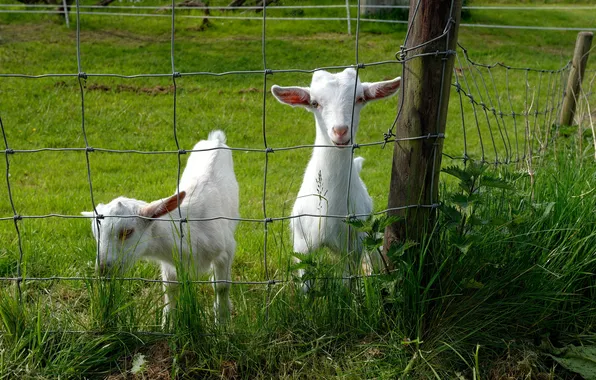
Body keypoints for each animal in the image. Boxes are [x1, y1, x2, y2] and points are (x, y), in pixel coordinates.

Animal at [82, 131, 240, 324]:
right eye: (95, 234)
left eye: (127, 232)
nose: (103, 269)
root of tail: (215, 140)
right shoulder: (169, 264)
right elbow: (170, 289)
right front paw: (168, 323)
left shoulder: (226, 249)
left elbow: (221, 286)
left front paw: (222, 321)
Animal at [270, 67, 400, 284]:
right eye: (314, 103)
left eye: (360, 98)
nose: (340, 131)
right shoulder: (302, 246)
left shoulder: (352, 246)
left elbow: (347, 281)